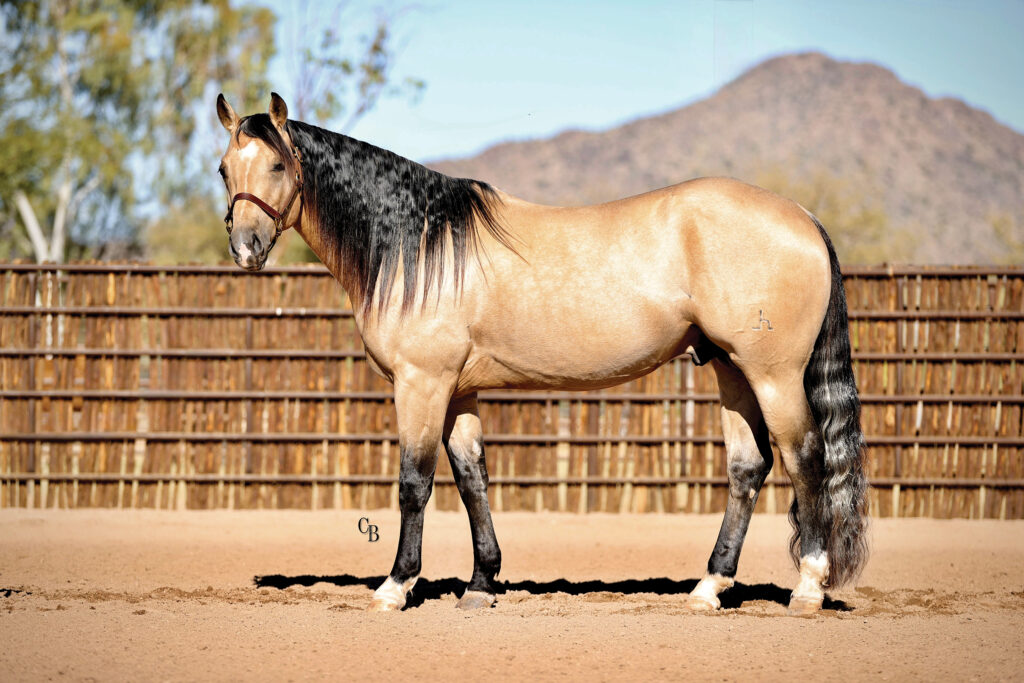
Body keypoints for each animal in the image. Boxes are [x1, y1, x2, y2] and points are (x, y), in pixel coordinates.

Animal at [215, 93, 868, 615]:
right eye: (224, 168)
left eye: (277, 163)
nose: (245, 248)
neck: (420, 244)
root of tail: (804, 217)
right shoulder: (460, 390)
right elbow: (472, 478)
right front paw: (481, 583)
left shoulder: (422, 382)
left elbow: (415, 482)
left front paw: (396, 587)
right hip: (732, 369)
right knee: (748, 467)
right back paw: (709, 588)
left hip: (773, 375)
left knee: (806, 458)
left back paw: (807, 589)